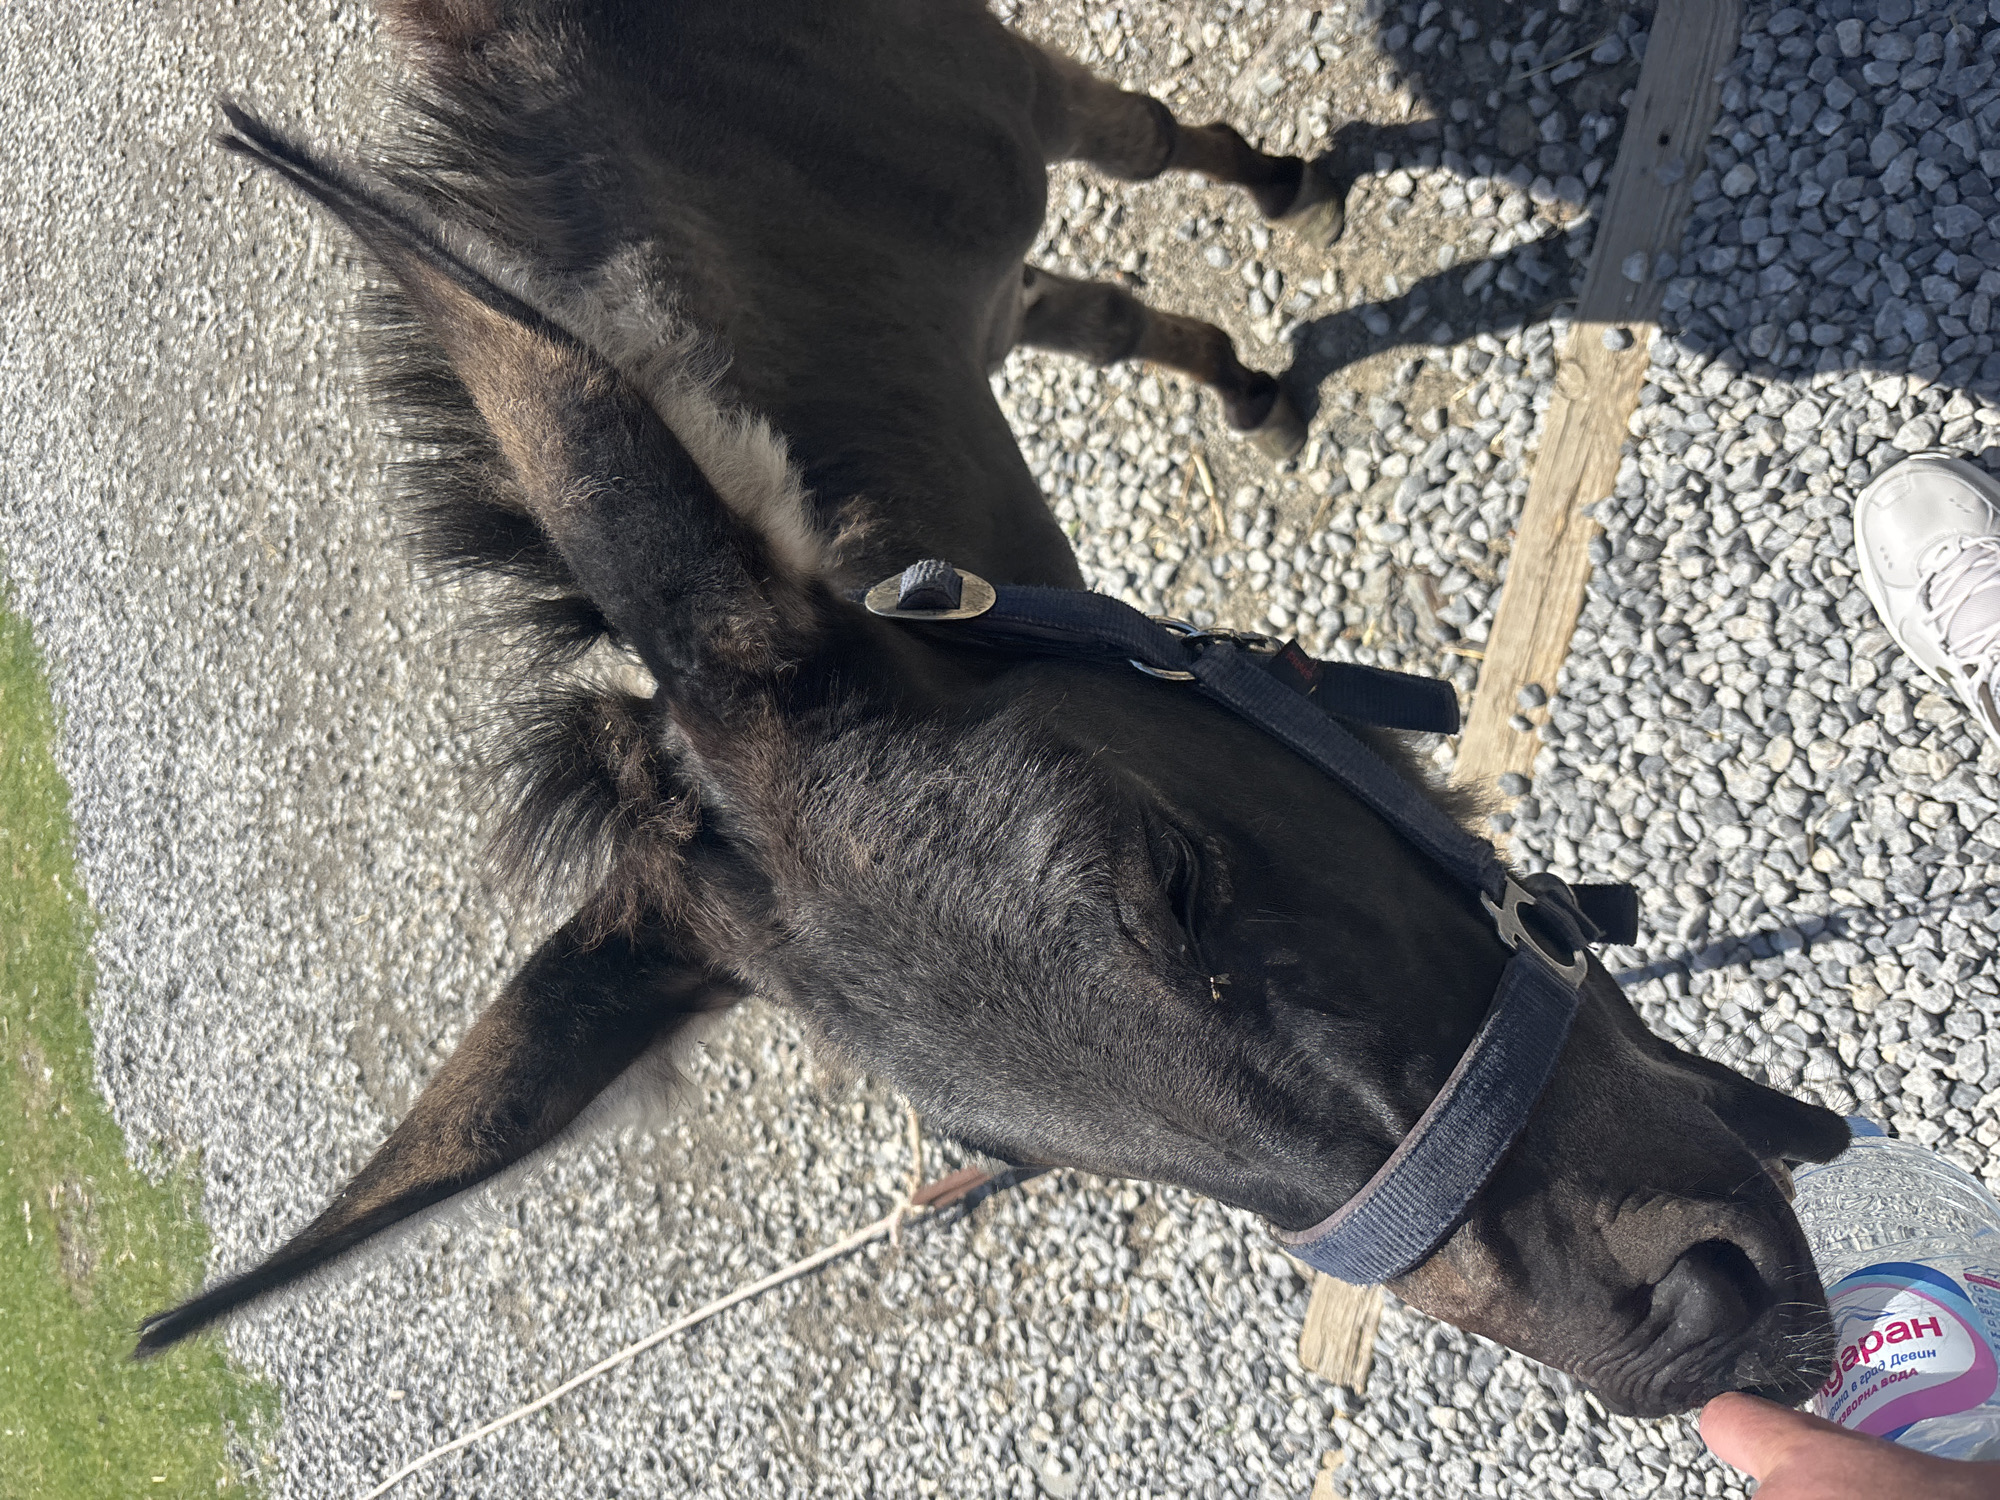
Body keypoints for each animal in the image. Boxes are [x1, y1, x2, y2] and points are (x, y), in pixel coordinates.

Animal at [136, 0, 1848, 1423]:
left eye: (1170, 876)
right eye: (1007, 1156)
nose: (1694, 1338)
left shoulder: (1004, 97)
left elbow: (1143, 149)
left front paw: (1279, 251)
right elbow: (1087, 308)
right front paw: (1248, 372)